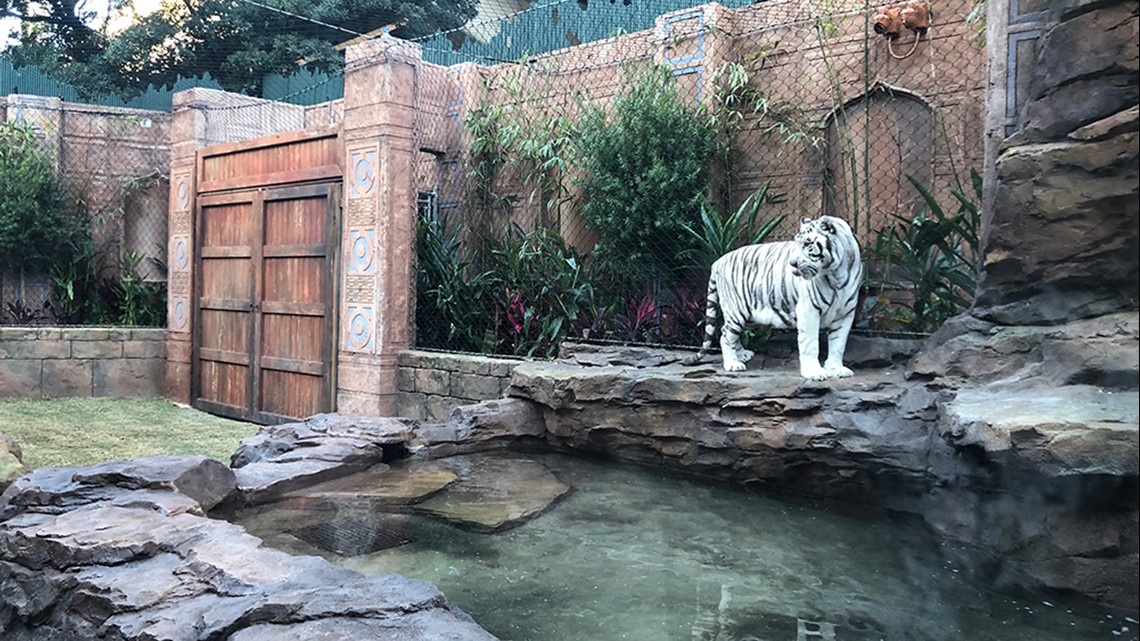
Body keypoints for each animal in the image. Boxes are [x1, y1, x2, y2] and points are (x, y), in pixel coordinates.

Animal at [684, 214, 861, 376]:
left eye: (807, 243)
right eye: (797, 243)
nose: (792, 264)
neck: (836, 274)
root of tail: (719, 260)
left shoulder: (845, 314)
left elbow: (839, 344)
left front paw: (836, 369)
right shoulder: (808, 310)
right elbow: (810, 343)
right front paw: (814, 372)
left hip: (748, 314)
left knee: (732, 334)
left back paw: (742, 354)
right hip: (736, 310)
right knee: (725, 334)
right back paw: (733, 363)